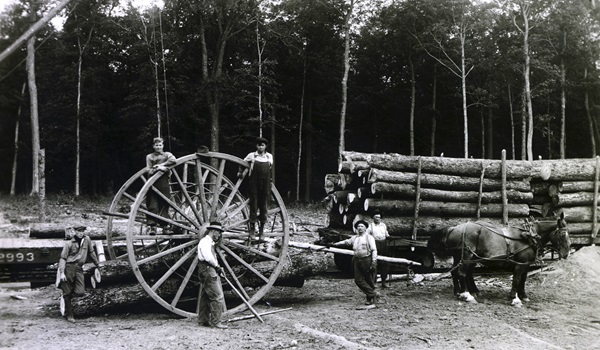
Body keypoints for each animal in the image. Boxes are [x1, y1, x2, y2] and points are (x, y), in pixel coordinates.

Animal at [426, 211, 572, 306]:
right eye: (563, 234)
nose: (566, 253)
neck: (529, 236)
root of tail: (454, 228)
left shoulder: (526, 265)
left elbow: (523, 280)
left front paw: (523, 296)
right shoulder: (520, 264)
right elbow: (516, 280)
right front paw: (514, 298)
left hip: (464, 257)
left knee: (458, 272)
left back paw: (461, 291)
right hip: (467, 255)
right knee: (461, 273)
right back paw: (467, 295)